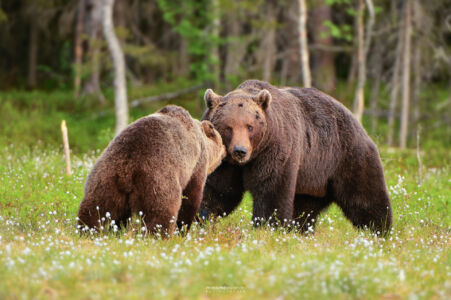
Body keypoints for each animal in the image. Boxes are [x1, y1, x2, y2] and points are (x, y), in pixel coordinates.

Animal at [78, 105, 226, 237]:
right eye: (222, 141)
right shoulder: (196, 163)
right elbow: (192, 195)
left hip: (105, 179)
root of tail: (126, 169)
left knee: (96, 209)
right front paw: (183, 228)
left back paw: (87, 231)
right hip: (156, 180)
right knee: (160, 213)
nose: (225, 151)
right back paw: (158, 236)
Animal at [200, 79, 394, 234]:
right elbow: (219, 191)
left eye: (249, 126)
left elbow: (271, 191)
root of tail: (358, 123)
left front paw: (268, 228)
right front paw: (202, 219)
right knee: (305, 209)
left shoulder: (276, 149)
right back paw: (300, 231)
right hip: (312, 178)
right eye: (229, 127)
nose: (240, 151)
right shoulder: (225, 162)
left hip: (347, 157)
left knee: (365, 198)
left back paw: (380, 232)